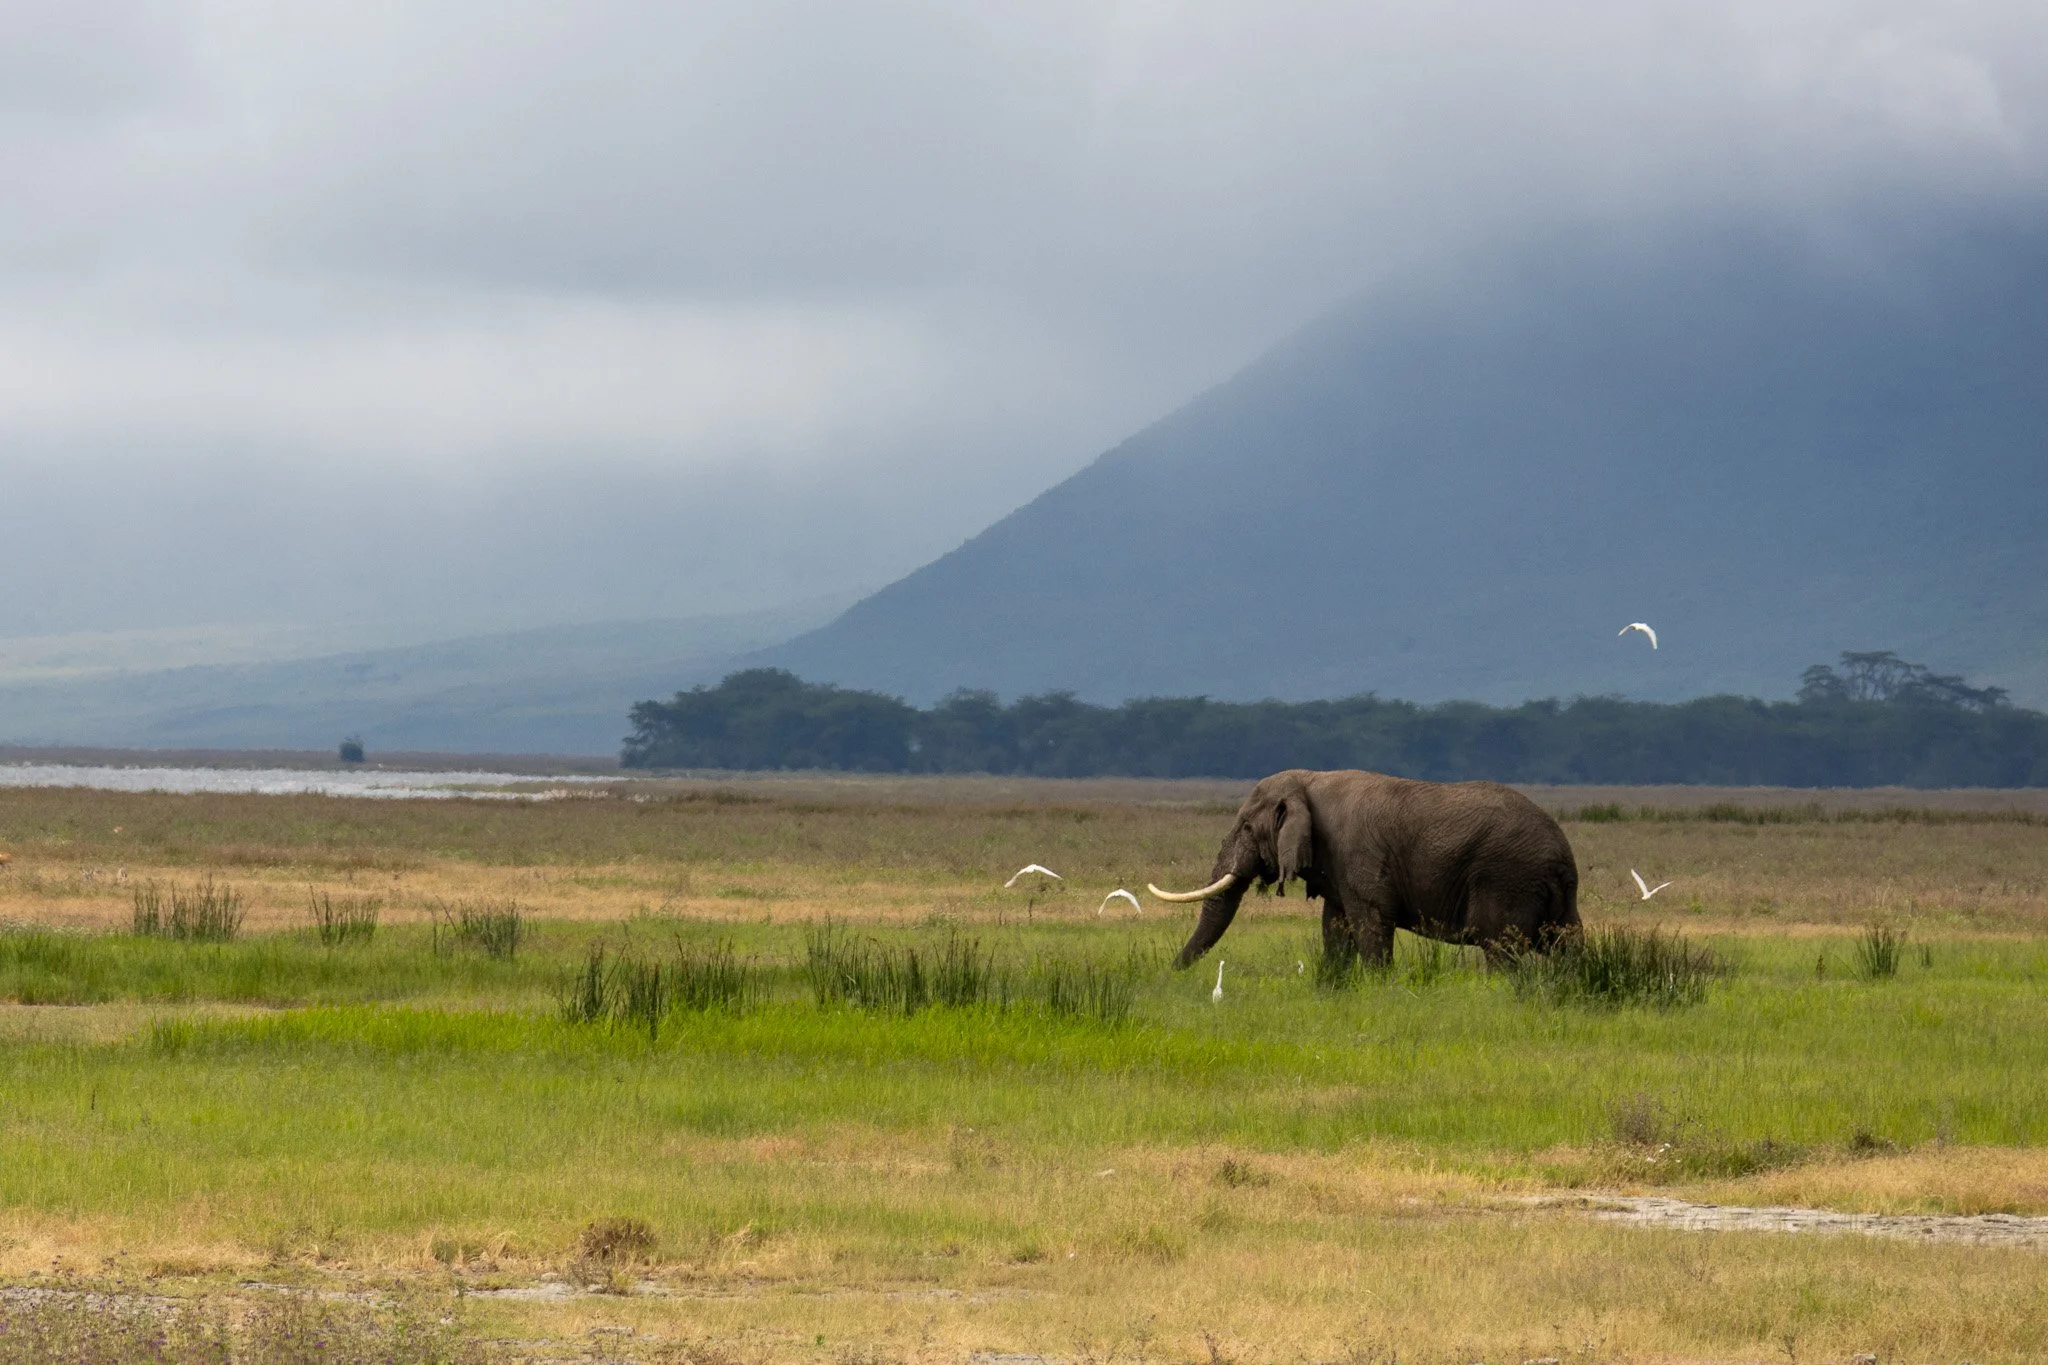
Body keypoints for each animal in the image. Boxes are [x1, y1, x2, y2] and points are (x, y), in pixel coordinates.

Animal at [1149, 769, 1580, 970]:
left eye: (1246, 828)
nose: (1169, 975)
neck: (1309, 781)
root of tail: (1562, 854)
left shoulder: (1358, 855)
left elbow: (1371, 923)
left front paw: (1378, 986)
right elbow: (1336, 929)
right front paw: (1334, 988)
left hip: (1506, 878)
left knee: (1502, 950)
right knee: (1567, 945)